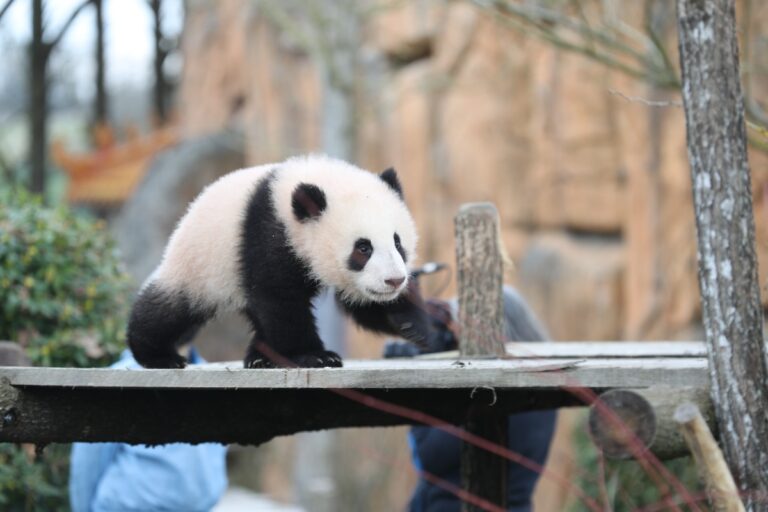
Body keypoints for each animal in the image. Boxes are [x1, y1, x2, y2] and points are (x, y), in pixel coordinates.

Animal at [127, 154, 432, 369]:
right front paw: (316, 356)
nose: (394, 280)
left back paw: (260, 357)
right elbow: (280, 298)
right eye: (363, 248)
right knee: (170, 309)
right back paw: (157, 355)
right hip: (200, 263)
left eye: (398, 242)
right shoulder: (269, 233)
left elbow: (365, 304)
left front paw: (413, 325)